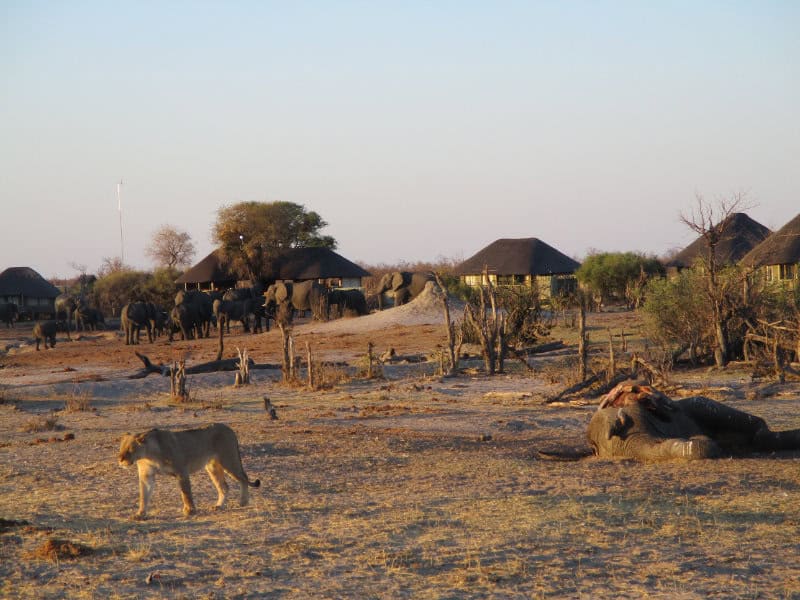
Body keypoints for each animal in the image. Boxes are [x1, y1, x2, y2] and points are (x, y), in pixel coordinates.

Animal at [118, 423, 261, 519]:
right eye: (121, 448)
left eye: (130, 449)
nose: (120, 459)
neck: (149, 455)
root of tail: (228, 428)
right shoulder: (146, 475)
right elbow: (144, 495)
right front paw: (140, 514)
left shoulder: (182, 471)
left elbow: (186, 493)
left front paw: (190, 510)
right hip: (212, 467)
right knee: (224, 486)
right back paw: (219, 506)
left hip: (229, 460)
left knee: (243, 478)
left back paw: (243, 502)